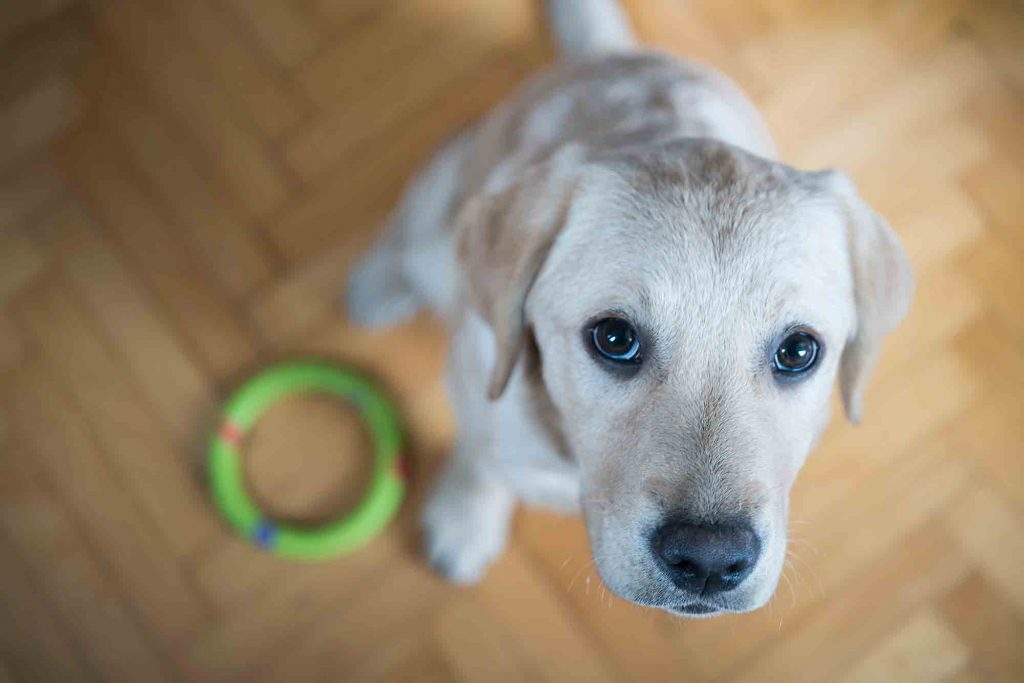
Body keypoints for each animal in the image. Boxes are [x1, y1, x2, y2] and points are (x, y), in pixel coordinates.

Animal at [346, 1, 913, 618]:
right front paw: (465, 520)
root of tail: (611, 53)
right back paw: (378, 285)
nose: (710, 559)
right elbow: (481, 459)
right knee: (410, 229)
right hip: (444, 204)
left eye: (799, 351)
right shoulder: (479, 389)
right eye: (614, 339)